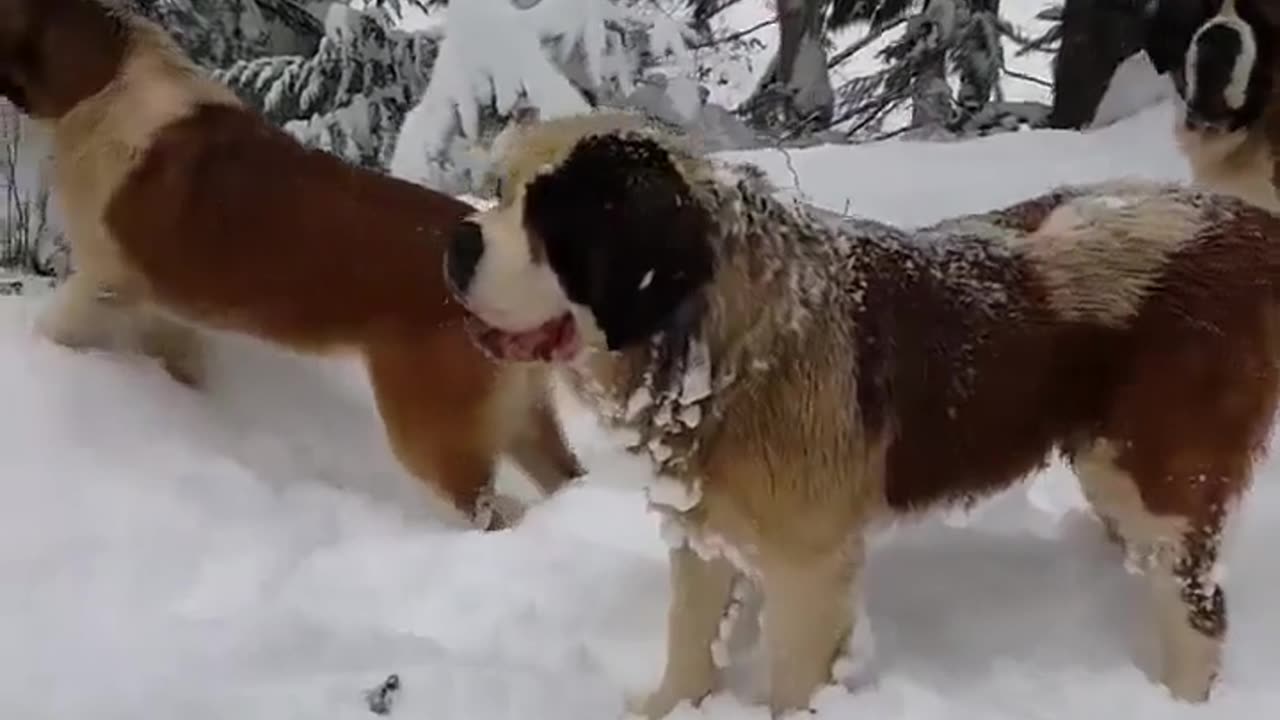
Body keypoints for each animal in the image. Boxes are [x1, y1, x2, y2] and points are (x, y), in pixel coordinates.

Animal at [0, 0, 586, 527]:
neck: (105, 78)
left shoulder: (105, 281)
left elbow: (57, 326)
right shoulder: (167, 314)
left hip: (431, 433)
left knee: (489, 510)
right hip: (525, 419)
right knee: (566, 480)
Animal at [445, 112, 1280, 712]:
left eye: (552, 220)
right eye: (499, 189)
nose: (456, 239)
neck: (722, 334)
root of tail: (1245, 225)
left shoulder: (809, 569)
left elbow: (789, 680)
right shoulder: (701, 533)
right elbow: (690, 642)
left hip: (1153, 476)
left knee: (1197, 611)